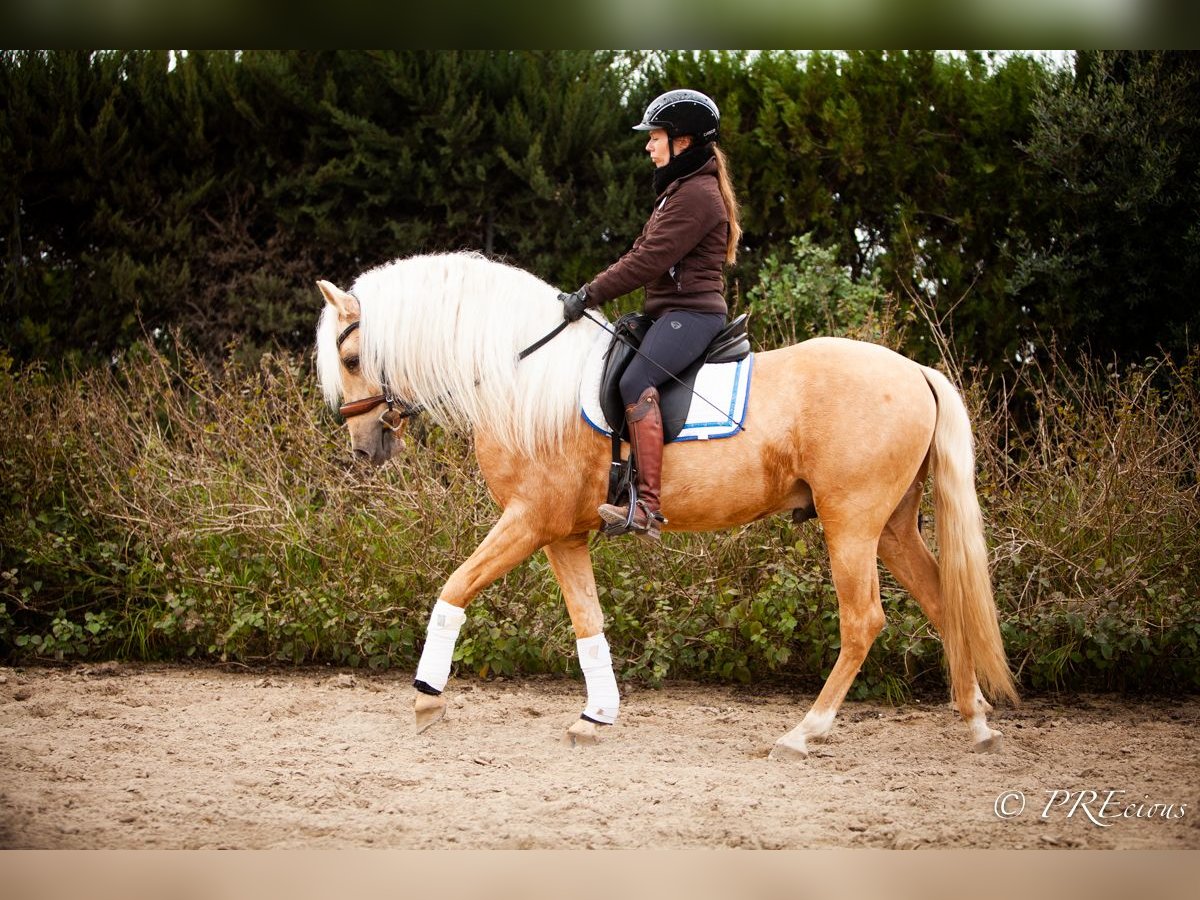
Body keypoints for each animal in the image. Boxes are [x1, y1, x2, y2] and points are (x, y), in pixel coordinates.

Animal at [314, 250, 1017, 758]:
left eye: (351, 356)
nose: (365, 446)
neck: (519, 375)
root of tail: (915, 371)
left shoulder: (528, 520)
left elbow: (455, 586)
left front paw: (426, 697)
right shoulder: (562, 534)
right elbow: (588, 622)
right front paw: (596, 716)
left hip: (853, 526)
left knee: (864, 621)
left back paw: (804, 733)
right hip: (892, 528)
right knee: (944, 602)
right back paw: (975, 721)